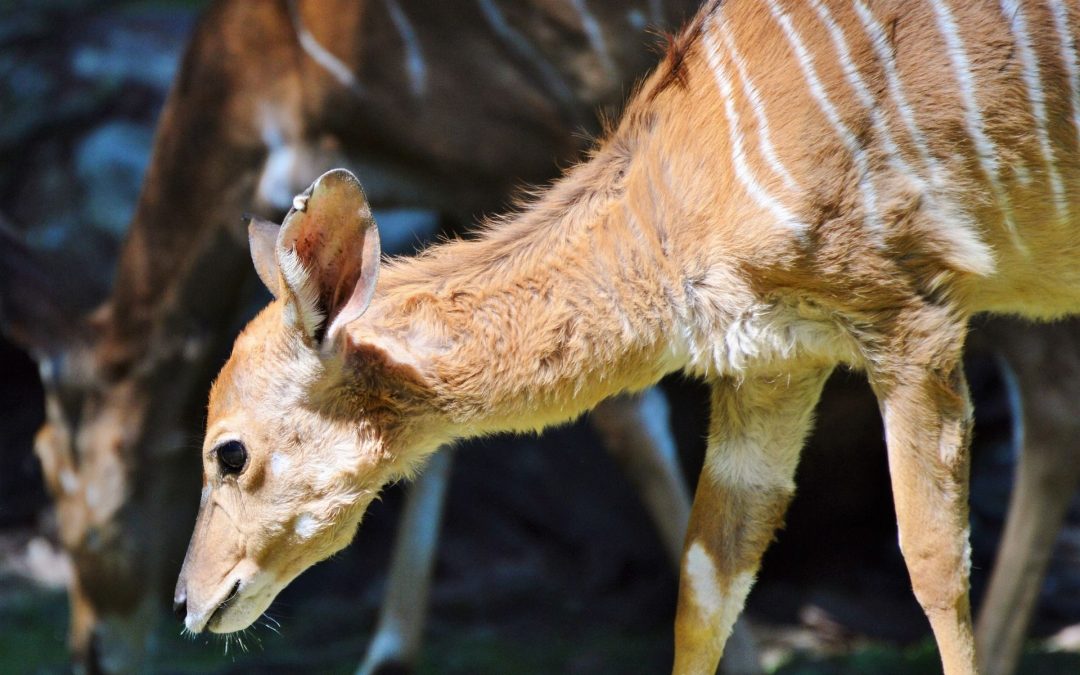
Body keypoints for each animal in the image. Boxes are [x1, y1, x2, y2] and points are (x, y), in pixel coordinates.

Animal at [172, 2, 1080, 669]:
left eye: (229, 451)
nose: (188, 601)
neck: (674, 200)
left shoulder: (911, 320)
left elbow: (933, 563)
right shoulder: (774, 366)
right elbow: (705, 582)